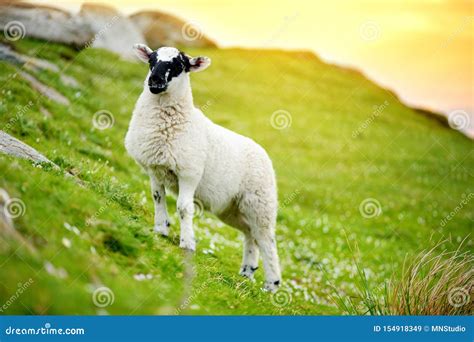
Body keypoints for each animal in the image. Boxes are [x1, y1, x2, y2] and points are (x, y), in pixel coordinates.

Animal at [125, 43, 282, 292]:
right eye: (151, 60)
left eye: (179, 65)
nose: (155, 80)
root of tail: (261, 151)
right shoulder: (155, 167)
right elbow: (157, 197)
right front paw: (161, 228)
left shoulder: (189, 173)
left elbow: (183, 207)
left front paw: (187, 242)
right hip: (233, 207)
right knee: (251, 234)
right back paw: (247, 272)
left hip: (260, 202)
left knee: (267, 239)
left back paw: (272, 285)